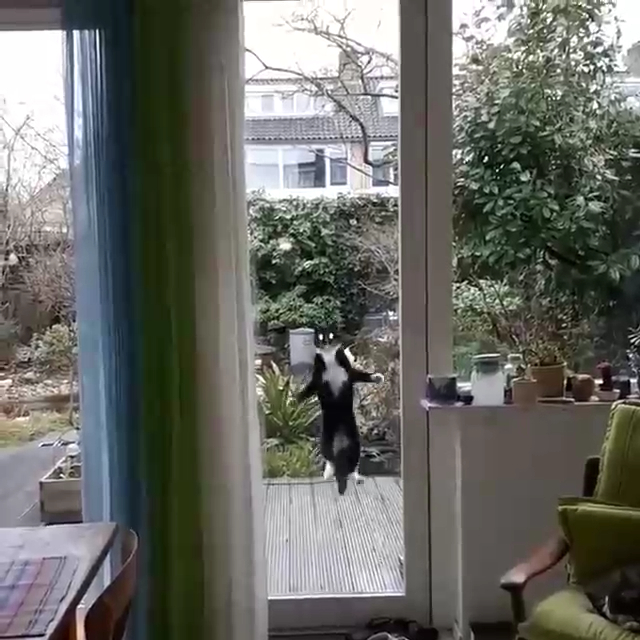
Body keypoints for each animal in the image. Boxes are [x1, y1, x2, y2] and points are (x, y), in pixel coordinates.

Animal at [298, 344, 384, 495]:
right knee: (332, 460)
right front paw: (295, 398)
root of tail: (340, 442)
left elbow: (363, 375)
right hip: (329, 440)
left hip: (351, 443)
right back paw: (329, 473)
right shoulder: (318, 378)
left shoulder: (348, 373)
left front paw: (377, 377)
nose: (325, 343)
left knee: (349, 464)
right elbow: (307, 390)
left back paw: (354, 477)